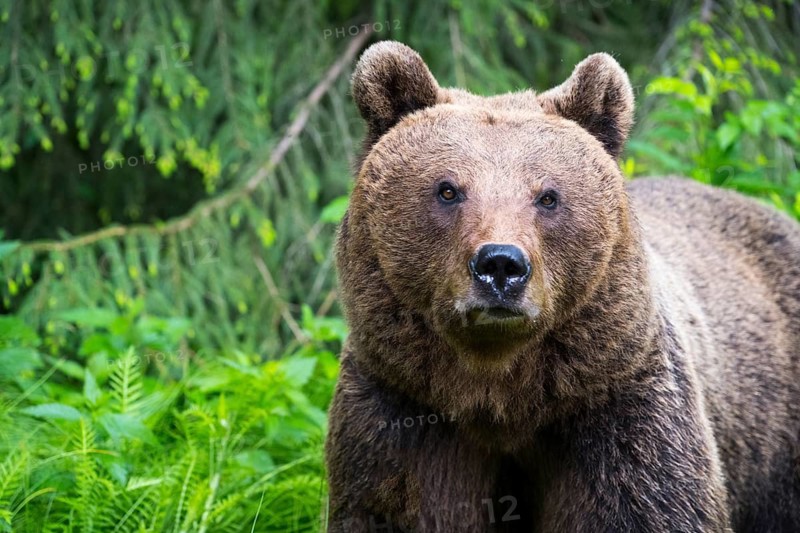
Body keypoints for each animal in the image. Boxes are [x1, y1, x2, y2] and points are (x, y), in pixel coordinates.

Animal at [325, 41, 800, 532]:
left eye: (548, 196)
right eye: (448, 189)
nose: (500, 264)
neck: (498, 393)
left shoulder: (620, 405)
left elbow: (651, 505)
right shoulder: (399, 410)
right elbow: (390, 505)